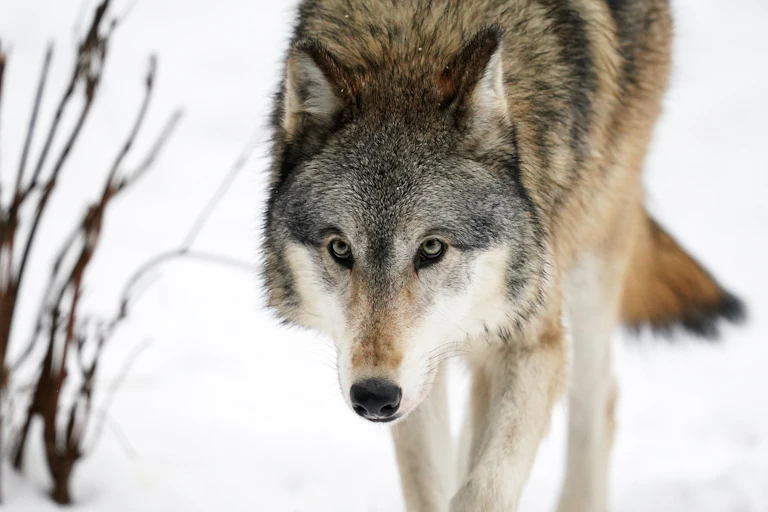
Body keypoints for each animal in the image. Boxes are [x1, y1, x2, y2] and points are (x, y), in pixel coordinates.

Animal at [262, 0, 745, 510]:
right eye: (340, 248)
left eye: (431, 248)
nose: (374, 395)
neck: (411, 43)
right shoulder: (419, 371)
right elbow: (431, 482)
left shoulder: (531, 341)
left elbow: (483, 489)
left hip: (594, 256)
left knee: (599, 403)